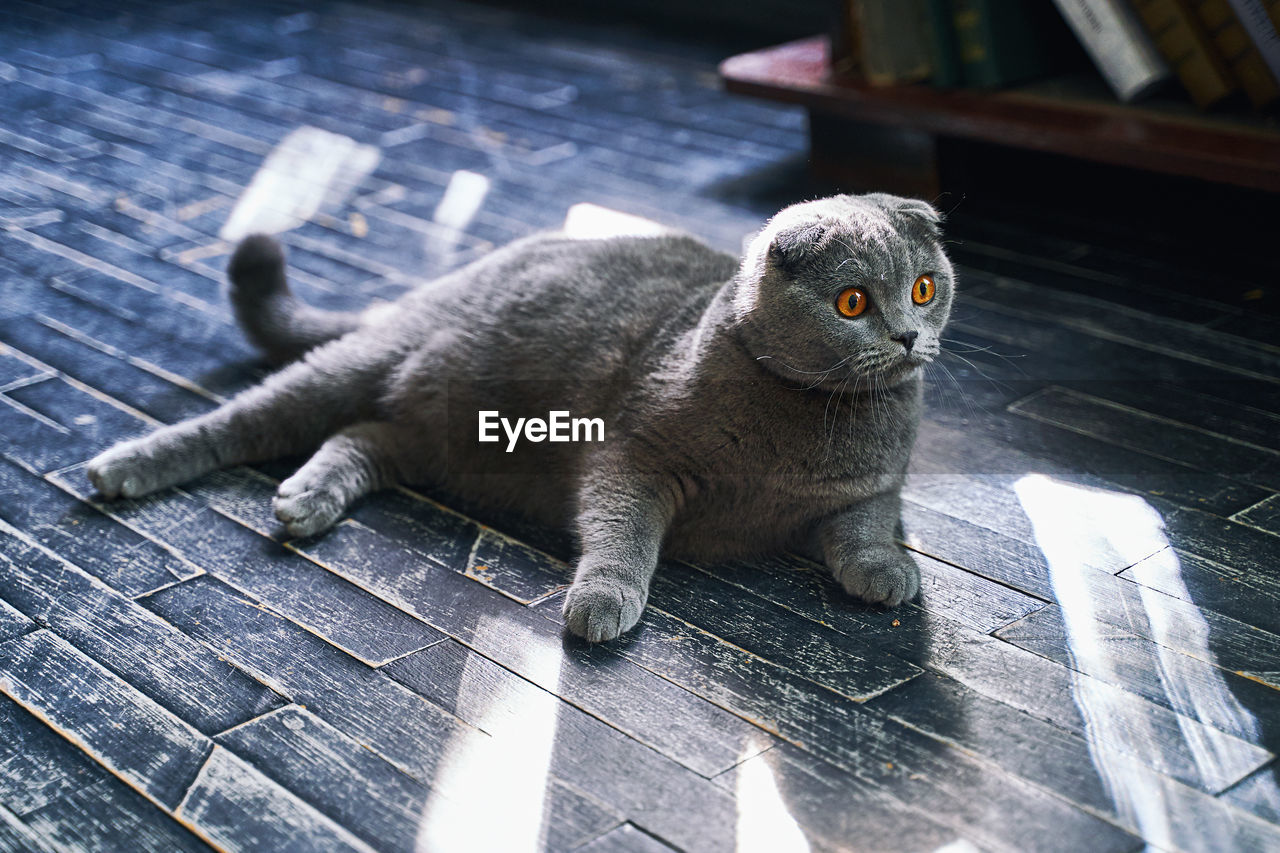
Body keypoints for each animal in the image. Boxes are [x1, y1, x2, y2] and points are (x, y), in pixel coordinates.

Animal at [85, 192, 952, 637]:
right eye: (852, 302)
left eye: (924, 287)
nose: (909, 336)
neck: (816, 421)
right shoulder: (630, 457)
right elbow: (622, 532)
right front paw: (604, 599)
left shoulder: (874, 487)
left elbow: (869, 523)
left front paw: (885, 570)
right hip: (366, 366)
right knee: (243, 420)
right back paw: (121, 466)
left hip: (435, 432)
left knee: (359, 434)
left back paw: (306, 499)